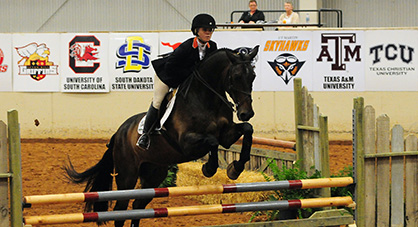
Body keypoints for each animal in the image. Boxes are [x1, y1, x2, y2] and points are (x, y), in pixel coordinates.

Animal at [65, 45, 260, 226]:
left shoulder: (226, 136)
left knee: (137, 207)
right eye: (236, 77)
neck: (206, 99)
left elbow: (247, 130)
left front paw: (236, 168)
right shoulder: (187, 143)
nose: (246, 113)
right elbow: (212, 141)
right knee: (121, 210)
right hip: (127, 176)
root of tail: (118, 133)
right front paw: (209, 168)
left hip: (154, 173)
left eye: (253, 76)